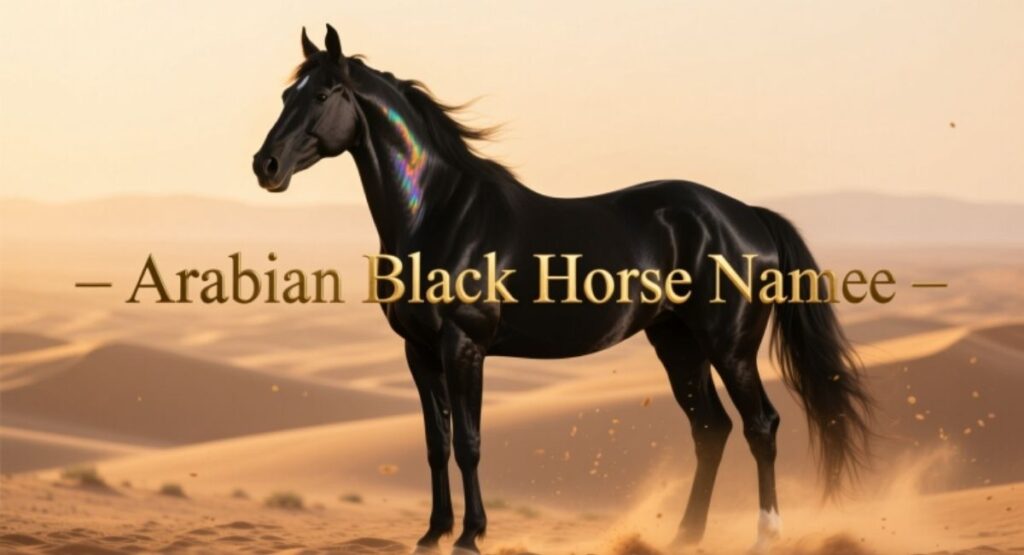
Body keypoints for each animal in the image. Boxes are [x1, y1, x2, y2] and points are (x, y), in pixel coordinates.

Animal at [253, 25, 872, 555]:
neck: (440, 213)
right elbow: (435, 443)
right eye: (286, 93)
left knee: (759, 426)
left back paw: (765, 535)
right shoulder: (418, 350)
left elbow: (469, 443)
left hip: (730, 348)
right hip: (677, 343)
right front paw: (431, 534)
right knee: (710, 429)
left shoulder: (463, 346)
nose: (267, 165)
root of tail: (748, 215)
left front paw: (470, 535)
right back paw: (685, 535)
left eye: (323, 93)